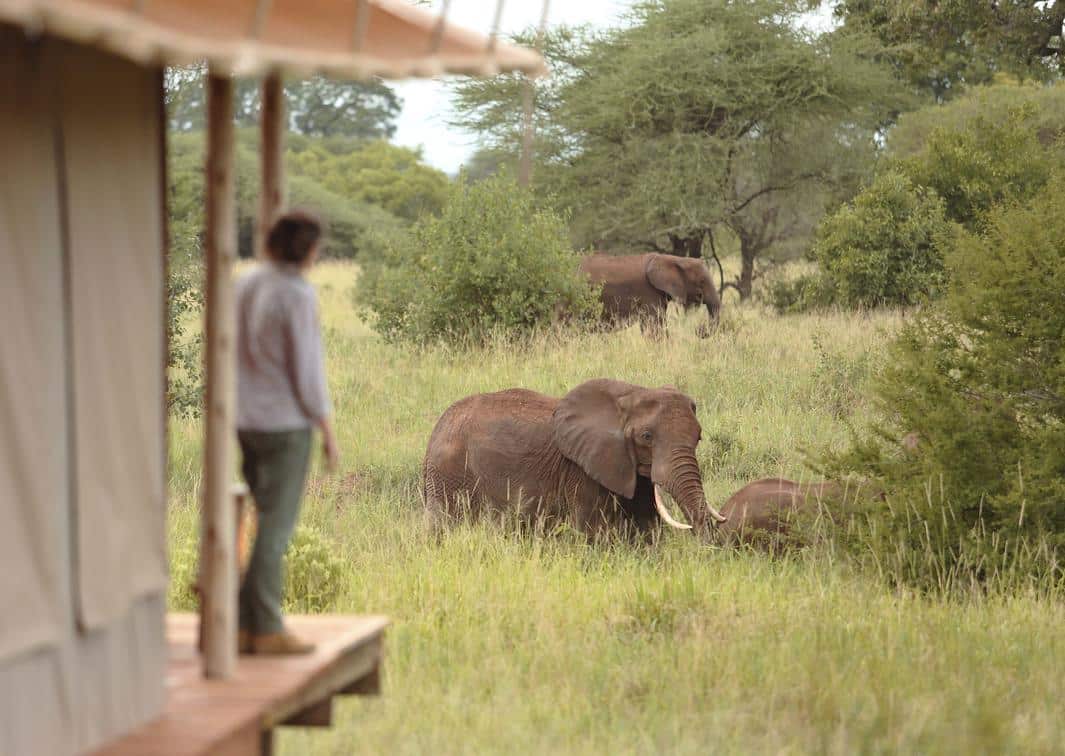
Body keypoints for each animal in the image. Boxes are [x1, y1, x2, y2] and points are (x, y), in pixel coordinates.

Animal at [419, 381, 728, 540]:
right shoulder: (581, 469)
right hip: (449, 474)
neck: (631, 393)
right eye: (647, 436)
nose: (707, 545)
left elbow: (645, 526)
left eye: (699, 437)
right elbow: (591, 529)